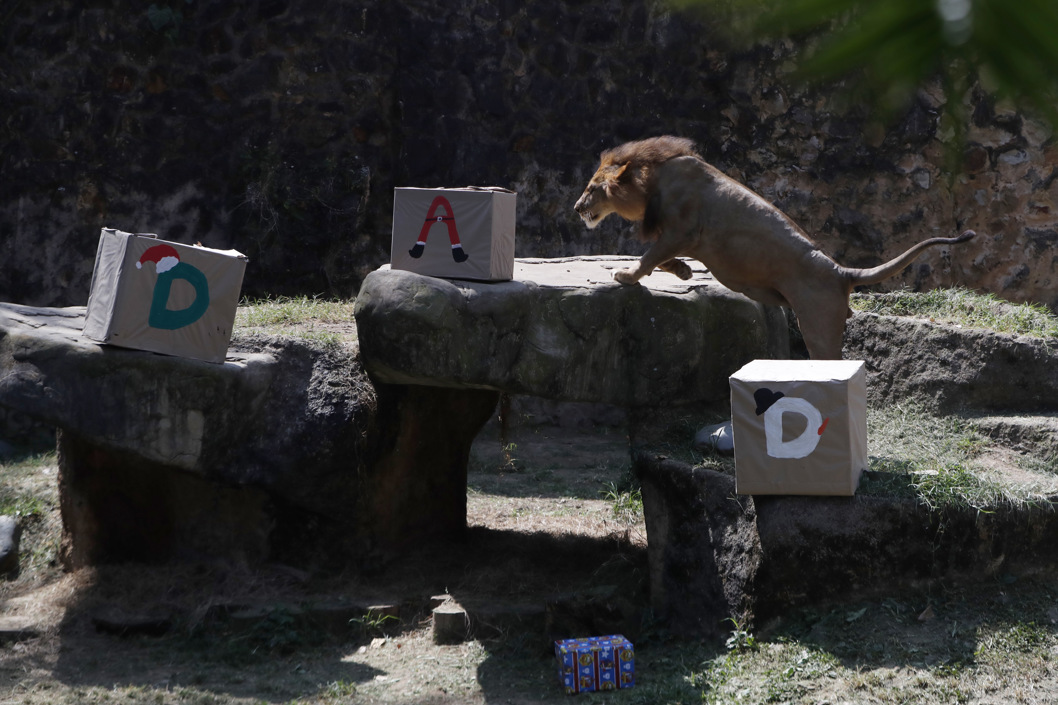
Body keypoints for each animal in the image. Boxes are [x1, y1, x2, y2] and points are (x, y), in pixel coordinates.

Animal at [579, 134, 973, 359]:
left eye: (593, 188)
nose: (576, 208)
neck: (652, 176)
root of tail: (840, 271)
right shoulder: (677, 235)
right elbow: (660, 259)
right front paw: (684, 270)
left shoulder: (682, 230)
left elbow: (648, 256)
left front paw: (626, 276)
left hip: (817, 325)